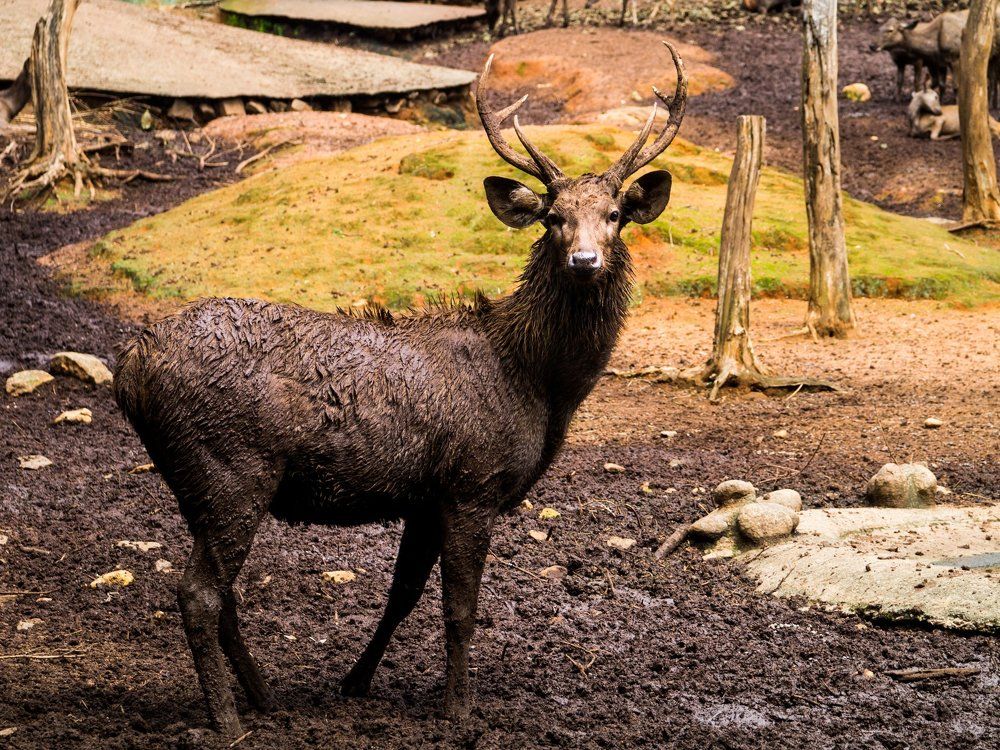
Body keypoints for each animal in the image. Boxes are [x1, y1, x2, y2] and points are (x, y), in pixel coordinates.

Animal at [113, 43, 688, 738]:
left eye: (614, 216)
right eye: (553, 218)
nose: (584, 260)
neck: (536, 384)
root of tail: (130, 365)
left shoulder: (426, 495)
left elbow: (403, 595)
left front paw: (354, 683)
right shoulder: (473, 482)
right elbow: (460, 609)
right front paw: (458, 710)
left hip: (191, 476)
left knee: (218, 591)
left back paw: (264, 696)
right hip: (231, 466)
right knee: (199, 592)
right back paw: (228, 722)